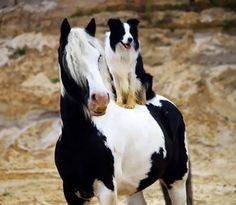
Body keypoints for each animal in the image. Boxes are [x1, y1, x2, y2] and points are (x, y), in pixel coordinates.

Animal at [54, 18, 193, 205]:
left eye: (98, 56)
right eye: (69, 58)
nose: (100, 99)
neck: (80, 137)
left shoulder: (107, 191)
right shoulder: (71, 192)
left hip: (176, 181)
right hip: (135, 188)